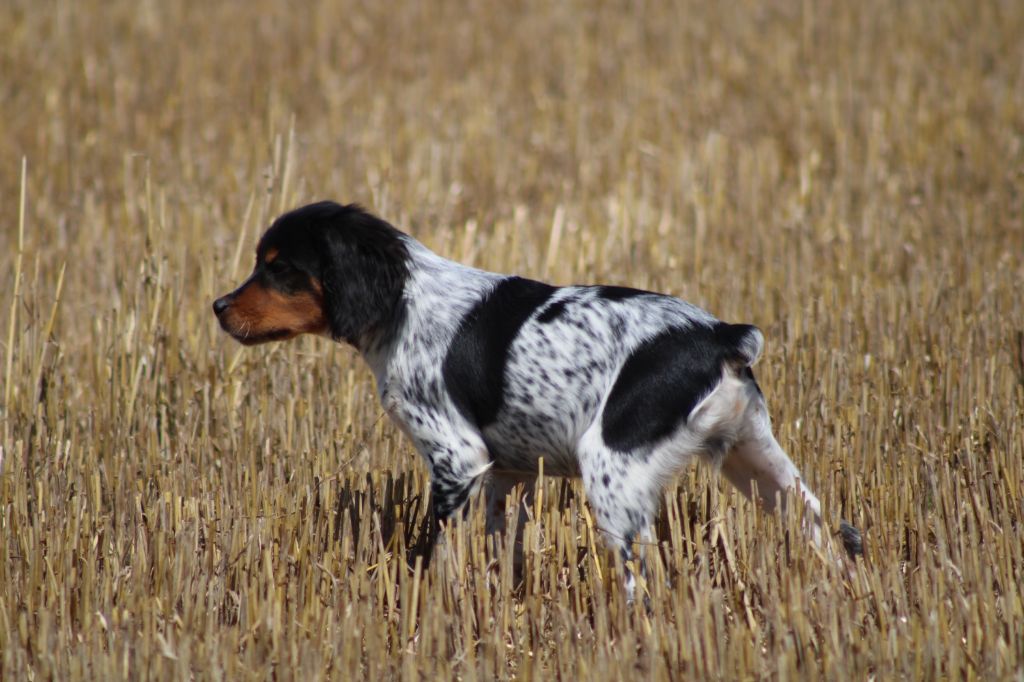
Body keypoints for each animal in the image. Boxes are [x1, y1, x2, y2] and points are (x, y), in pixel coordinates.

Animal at [216, 197, 864, 593]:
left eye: (279, 267)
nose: (218, 307)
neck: (404, 304)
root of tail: (717, 335)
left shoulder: (456, 459)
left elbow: (439, 551)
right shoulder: (509, 472)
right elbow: (501, 548)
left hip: (614, 475)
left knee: (644, 581)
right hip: (760, 463)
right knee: (824, 529)